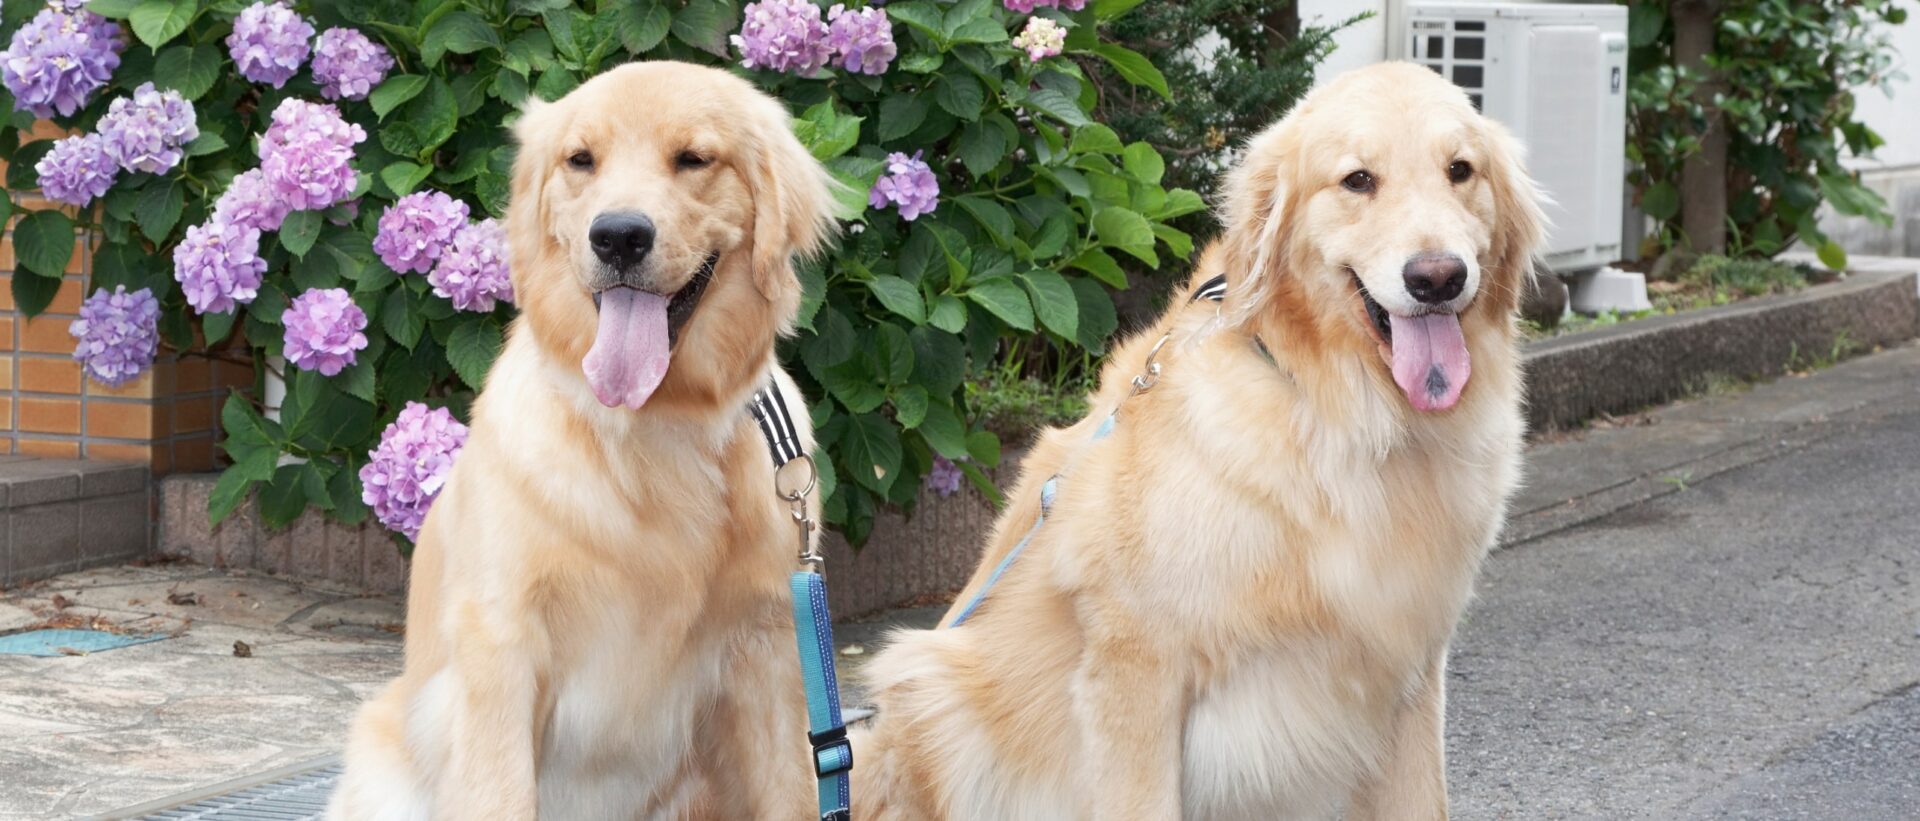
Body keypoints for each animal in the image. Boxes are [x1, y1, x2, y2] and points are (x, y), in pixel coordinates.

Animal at [326, 60, 837, 817]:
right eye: (581, 160)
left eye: (694, 158)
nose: (618, 236)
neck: (657, 424)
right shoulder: (501, 642)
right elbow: (499, 792)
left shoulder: (770, 648)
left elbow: (793, 792)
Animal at [856, 60, 1543, 817]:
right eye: (1358, 179)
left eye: (1461, 170)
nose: (1439, 277)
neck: (1348, 412)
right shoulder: (1138, 663)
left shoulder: (1412, 665)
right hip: (931, 679)